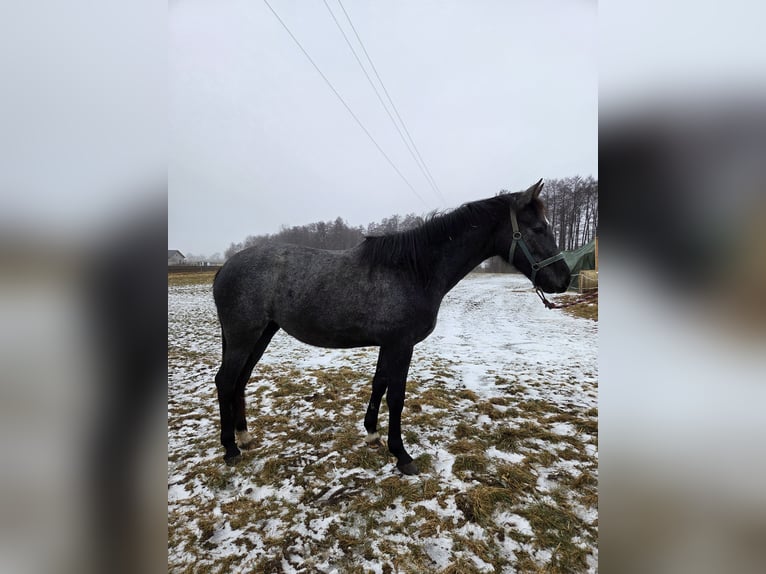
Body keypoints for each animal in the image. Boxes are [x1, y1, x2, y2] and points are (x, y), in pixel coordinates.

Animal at [212, 179, 570, 475]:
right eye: (538, 228)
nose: (563, 279)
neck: (413, 270)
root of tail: (225, 267)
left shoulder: (388, 344)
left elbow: (378, 385)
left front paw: (372, 434)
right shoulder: (401, 344)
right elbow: (396, 395)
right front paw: (401, 455)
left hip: (262, 334)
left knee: (240, 380)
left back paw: (244, 436)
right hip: (244, 336)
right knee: (226, 381)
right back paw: (230, 449)